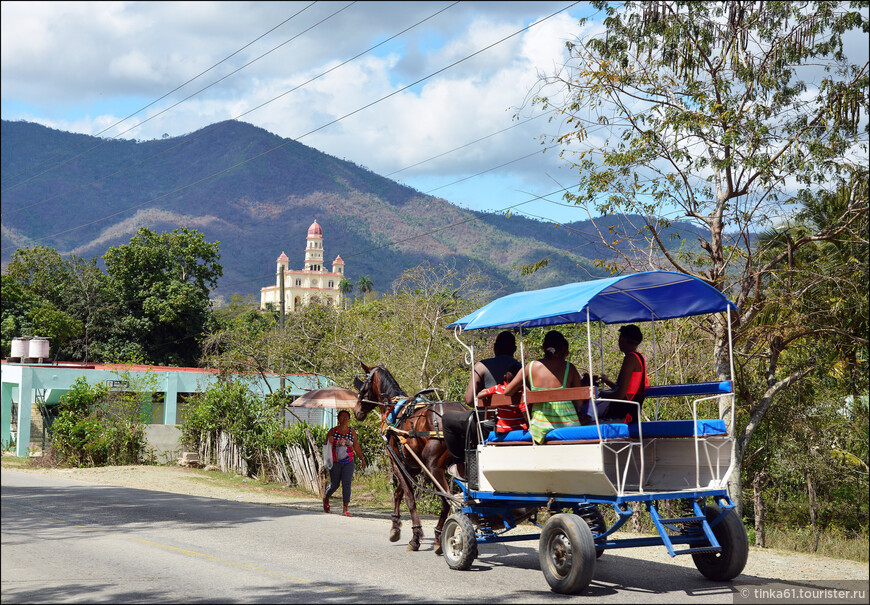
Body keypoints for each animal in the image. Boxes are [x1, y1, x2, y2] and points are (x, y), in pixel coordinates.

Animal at [352, 364, 470, 552]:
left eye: (362, 385)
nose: (356, 411)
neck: (394, 408)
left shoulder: (397, 463)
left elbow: (409, 498)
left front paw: (415, 537)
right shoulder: (412, 467)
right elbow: (399, 493)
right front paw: (395, 527)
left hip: (433, 466)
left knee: (447, 499)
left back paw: (441, 537)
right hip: (460, 465)